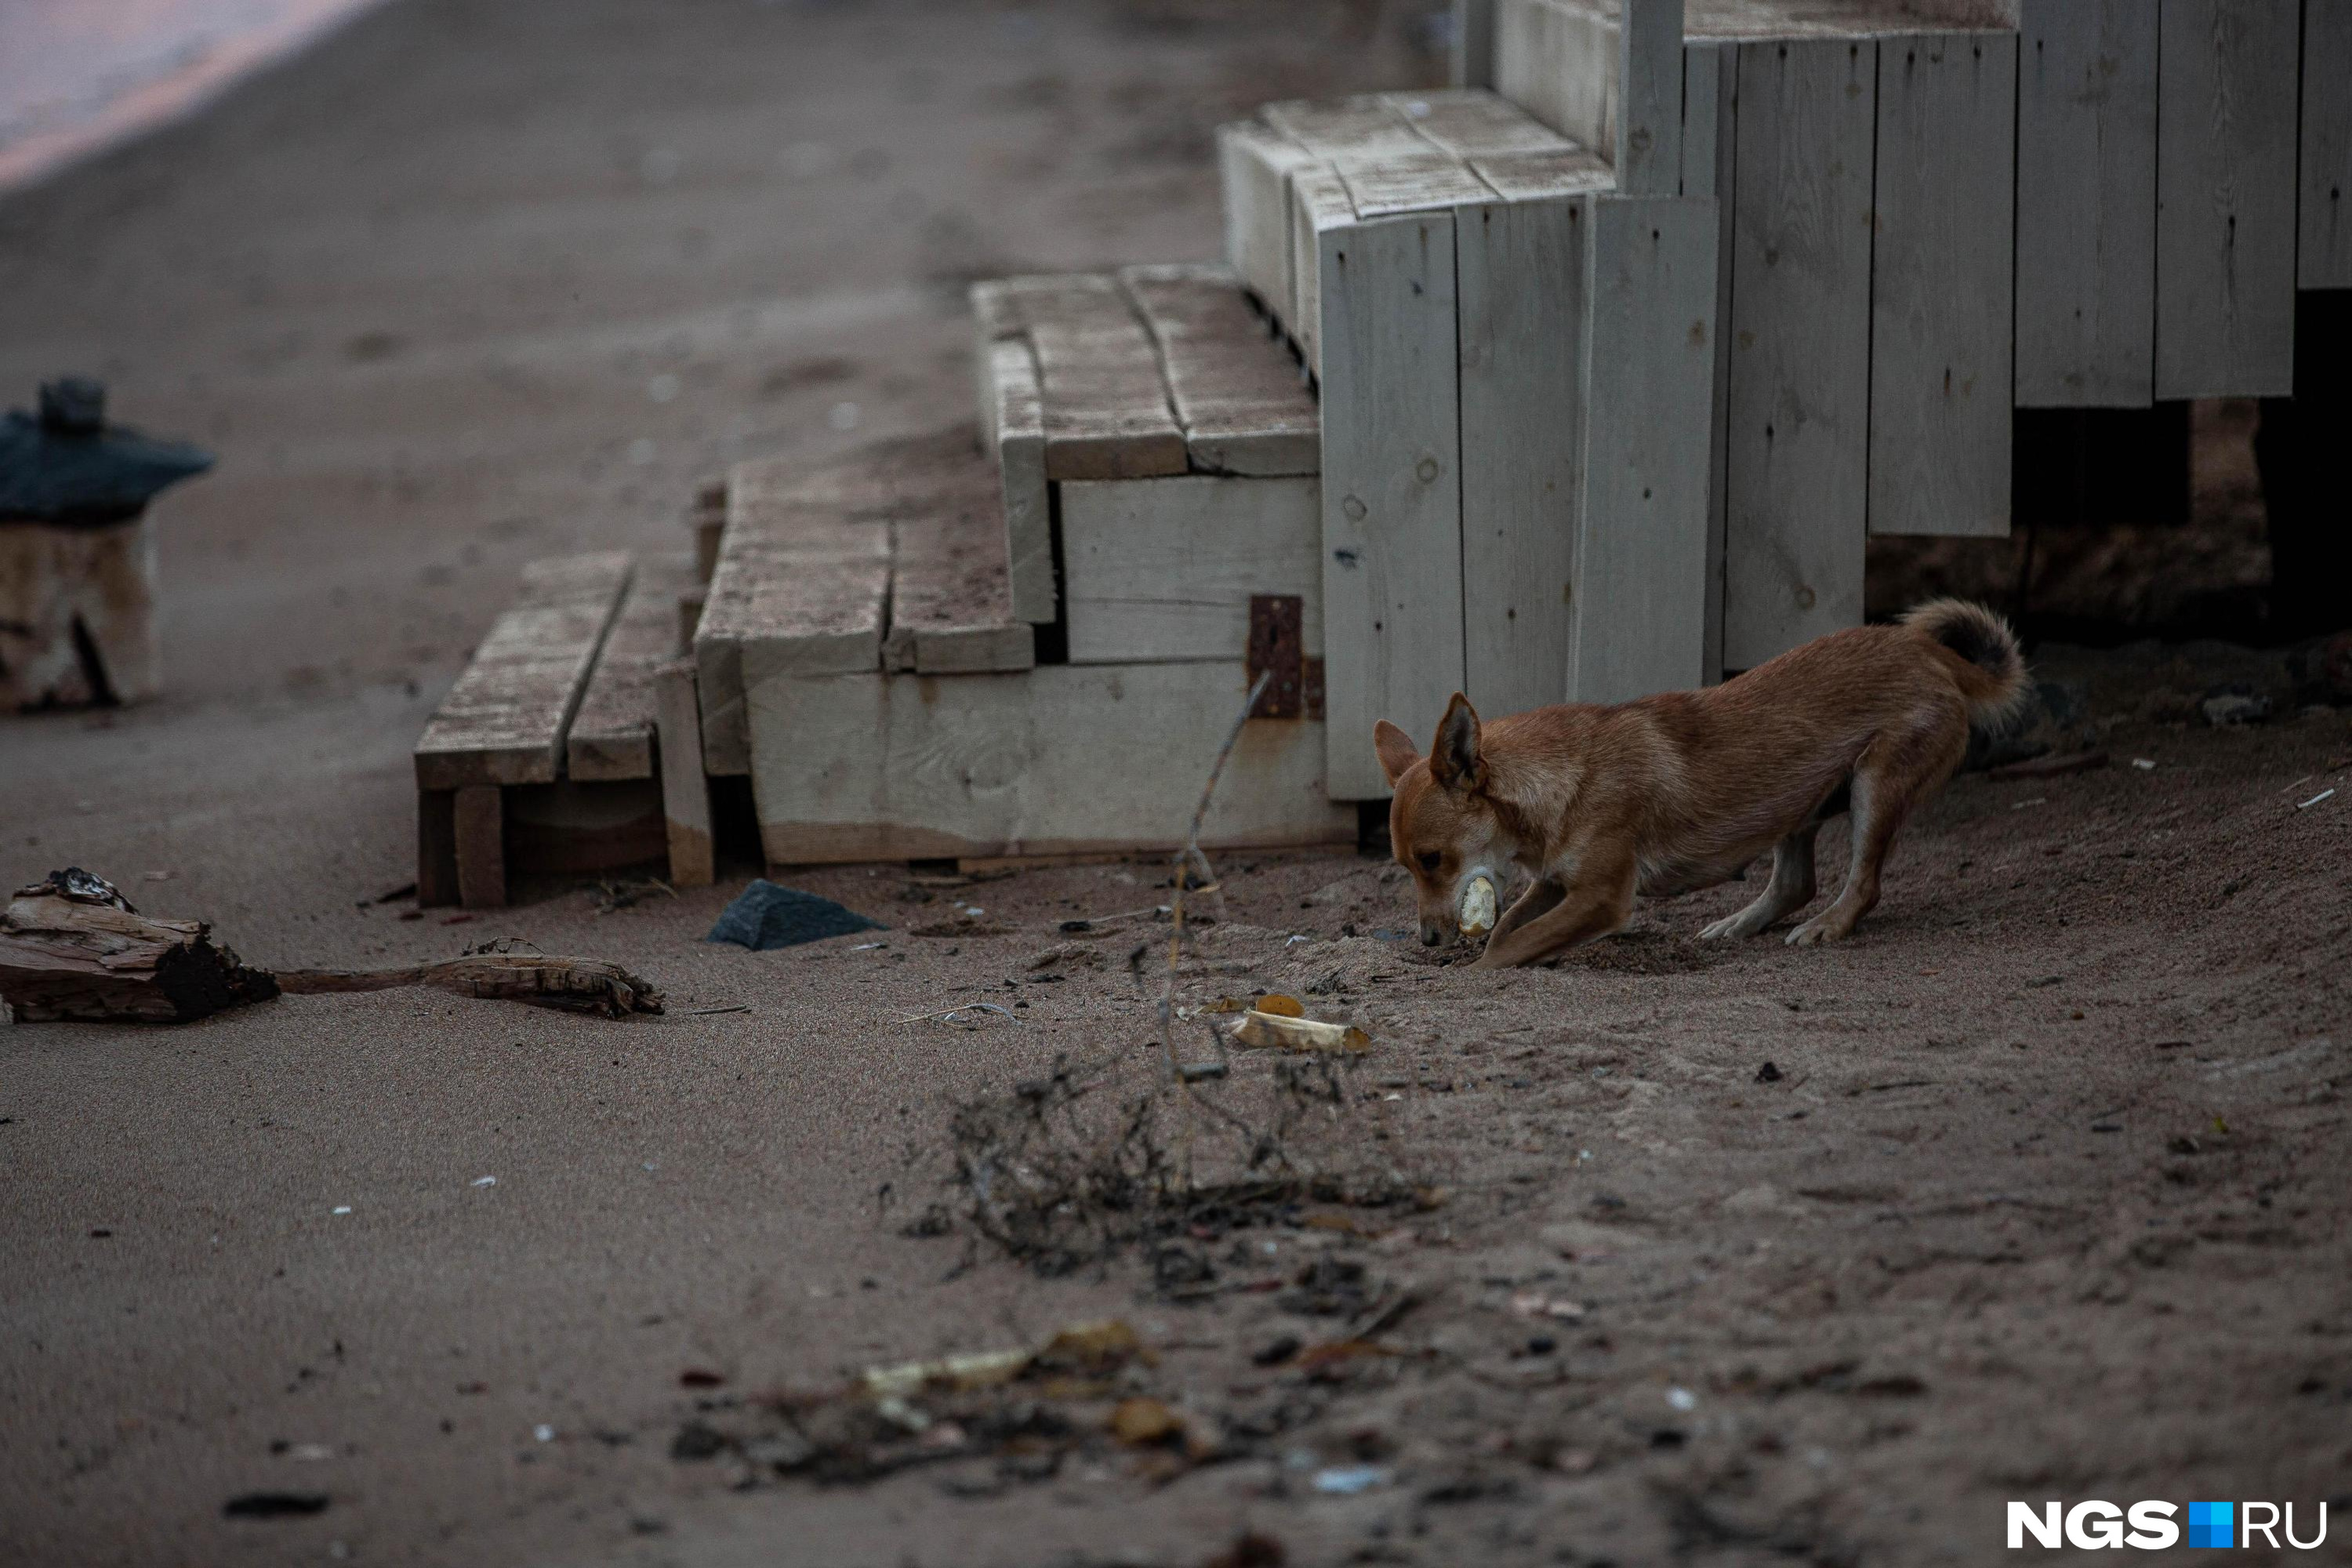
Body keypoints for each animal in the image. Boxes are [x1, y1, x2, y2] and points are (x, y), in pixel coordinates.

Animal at [1374, 601, 2023, 968]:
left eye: (1432, 860)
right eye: (1406, 866)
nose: (1427, 941)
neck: (1560, 782)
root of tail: (1928, 651)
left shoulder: (1601, 897)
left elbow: (1506, 947)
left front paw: (1476, 973)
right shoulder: (1557, 883)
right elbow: (1508, 929)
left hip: (1874, 786)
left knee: (1861, 885)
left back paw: (1829, 925)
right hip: (1799, 798)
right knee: (1797, 883)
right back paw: (1740, 924)